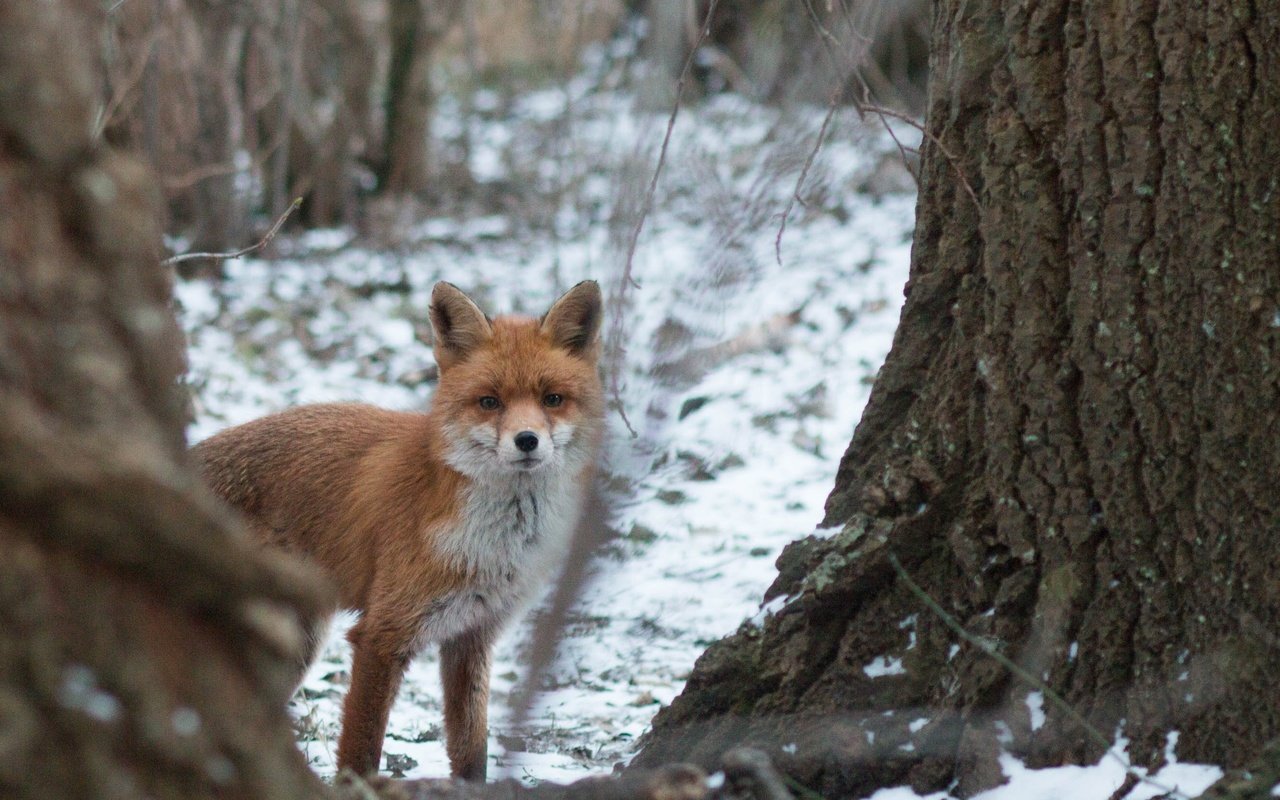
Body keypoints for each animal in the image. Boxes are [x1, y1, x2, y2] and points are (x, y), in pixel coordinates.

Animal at [192, 282, 606, 778]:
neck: (495, 546)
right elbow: (361, 751)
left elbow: (472, 749)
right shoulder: (381, 634)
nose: (527, 440)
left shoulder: (472, 635)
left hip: (294, 644)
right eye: (490, 401)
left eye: (552, 399)